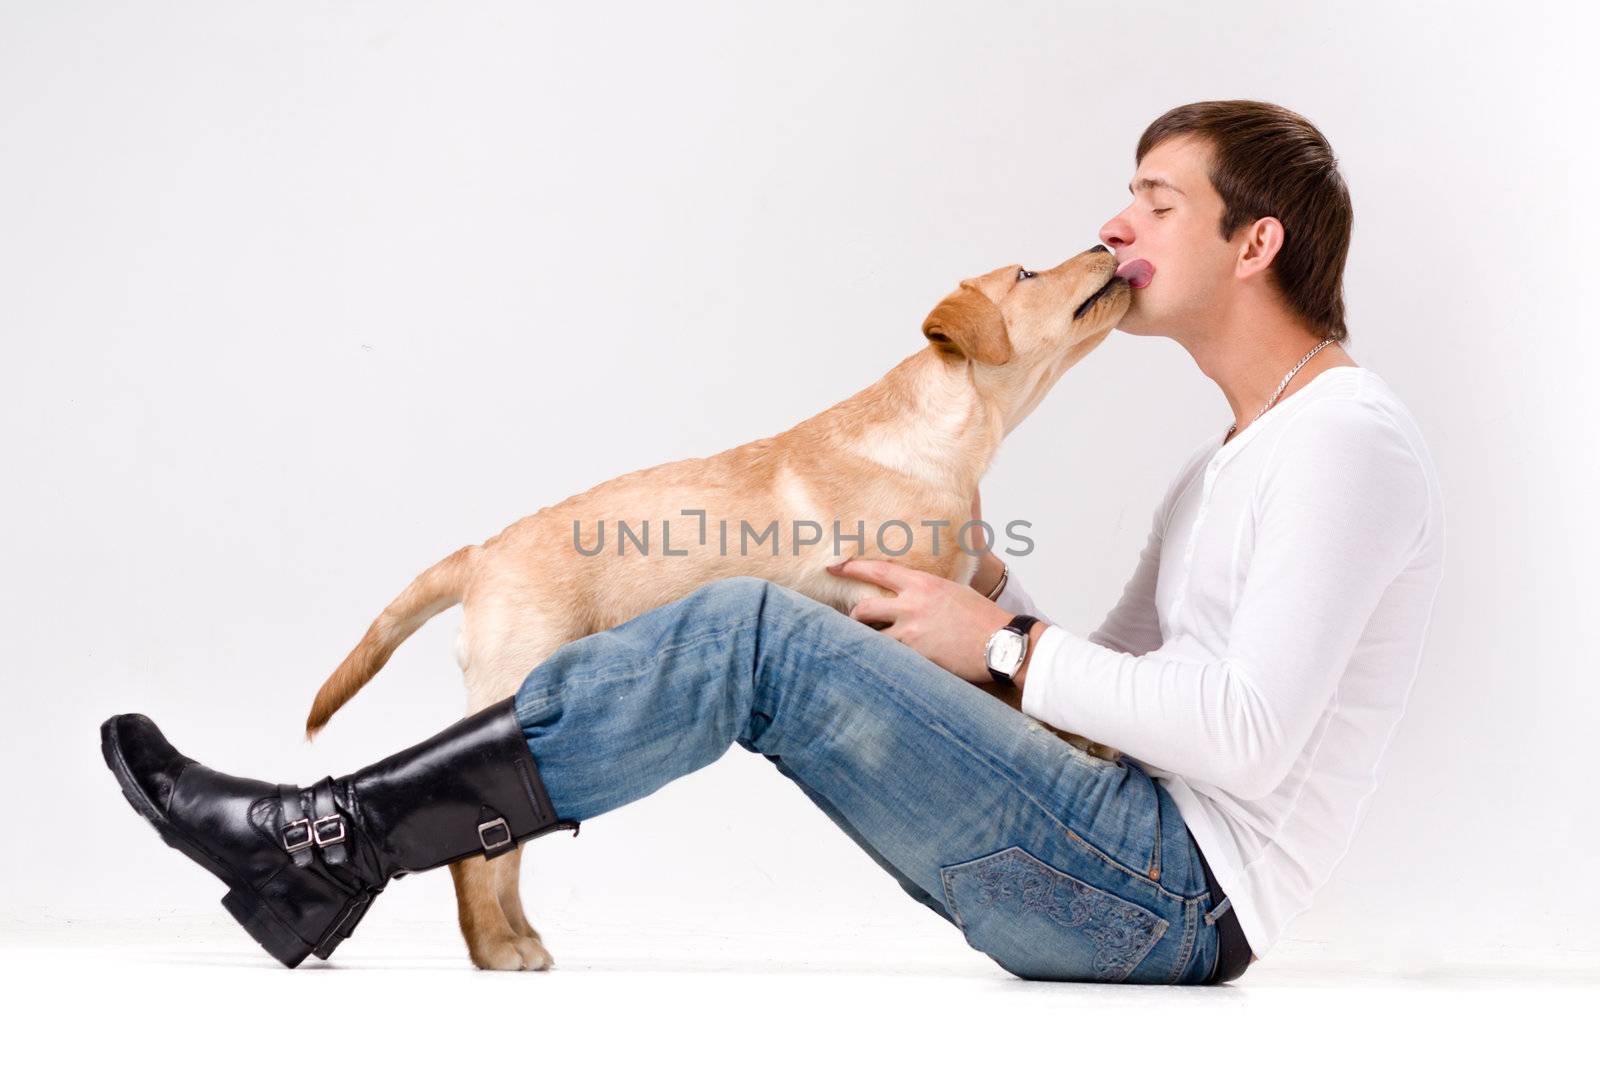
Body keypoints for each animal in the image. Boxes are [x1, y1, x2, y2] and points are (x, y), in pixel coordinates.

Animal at [305, 246, 1132, 972]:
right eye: (1026, 273)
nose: (1103, 244)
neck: (940, 429)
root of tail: (482, 551)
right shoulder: (910, 621)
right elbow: (1001, 692)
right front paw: (1081, 739)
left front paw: (1087, 736)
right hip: (516, 682)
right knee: (486, 846)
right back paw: (498, 947)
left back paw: (518, 938)